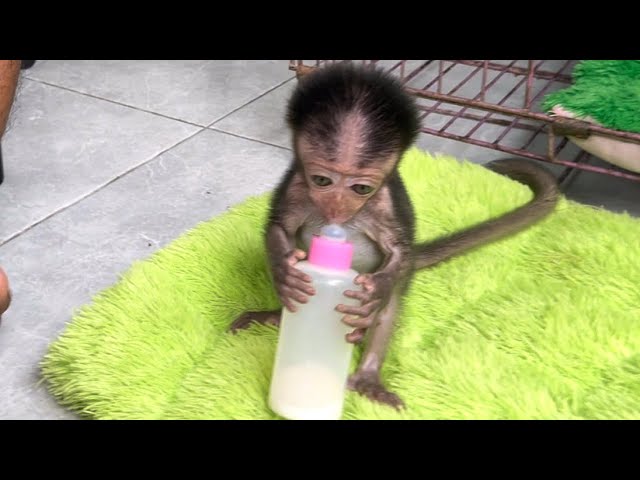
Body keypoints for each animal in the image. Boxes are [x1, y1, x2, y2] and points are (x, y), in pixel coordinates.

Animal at [229, 62, 559, 410]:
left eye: (361, 188)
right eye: (322, 181)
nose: (337, 206)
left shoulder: (386, 202)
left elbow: (398, 250)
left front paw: (380, 287)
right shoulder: (295, 185)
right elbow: (279, 228)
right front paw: (284, 272)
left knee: (388, 308)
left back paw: (368, 375)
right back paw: (275, 314)